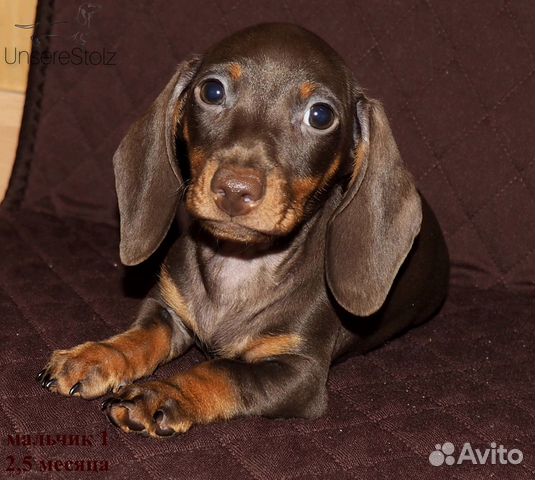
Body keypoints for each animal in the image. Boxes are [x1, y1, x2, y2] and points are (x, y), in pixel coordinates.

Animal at [35, 23, 450, 438]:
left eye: (320, 115)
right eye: (212, 91)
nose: (235, 189)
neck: (239, 265)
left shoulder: (299, 373)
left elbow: (222, 370)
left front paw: (163, 394)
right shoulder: (167, 308)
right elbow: (144, 335)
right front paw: (95, 356)